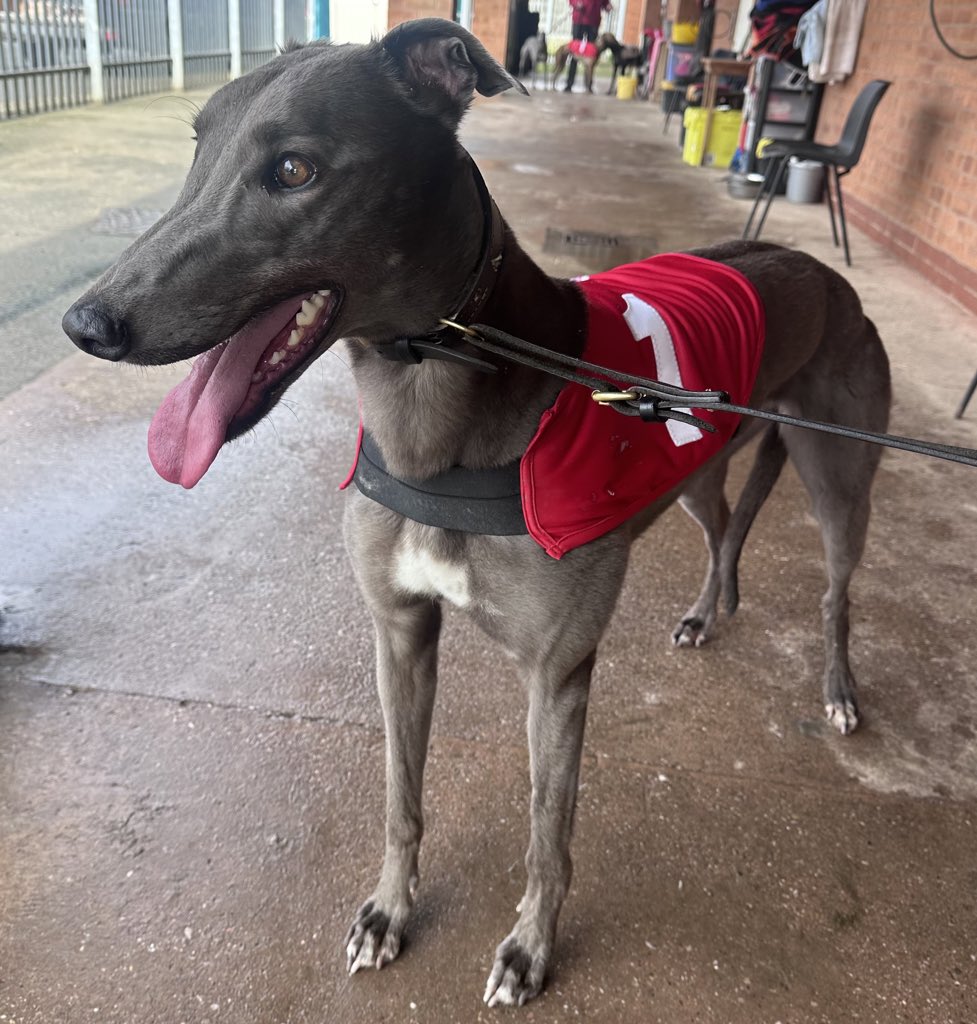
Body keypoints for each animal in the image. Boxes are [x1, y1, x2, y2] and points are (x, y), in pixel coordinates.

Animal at [59, 16, 884, 1007]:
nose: (88, 325)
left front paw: (529, 950)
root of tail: (820, 270)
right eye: (198, 148)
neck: (444, 413)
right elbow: (400, 795)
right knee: (725, 528)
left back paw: (838, 693)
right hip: (700, 461)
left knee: (837, 592)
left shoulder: (557, 675)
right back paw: (704, 613)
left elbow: (547, 835)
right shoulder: (399, 631)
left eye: (294, 169)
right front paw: (387, 912)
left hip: (838, 474)